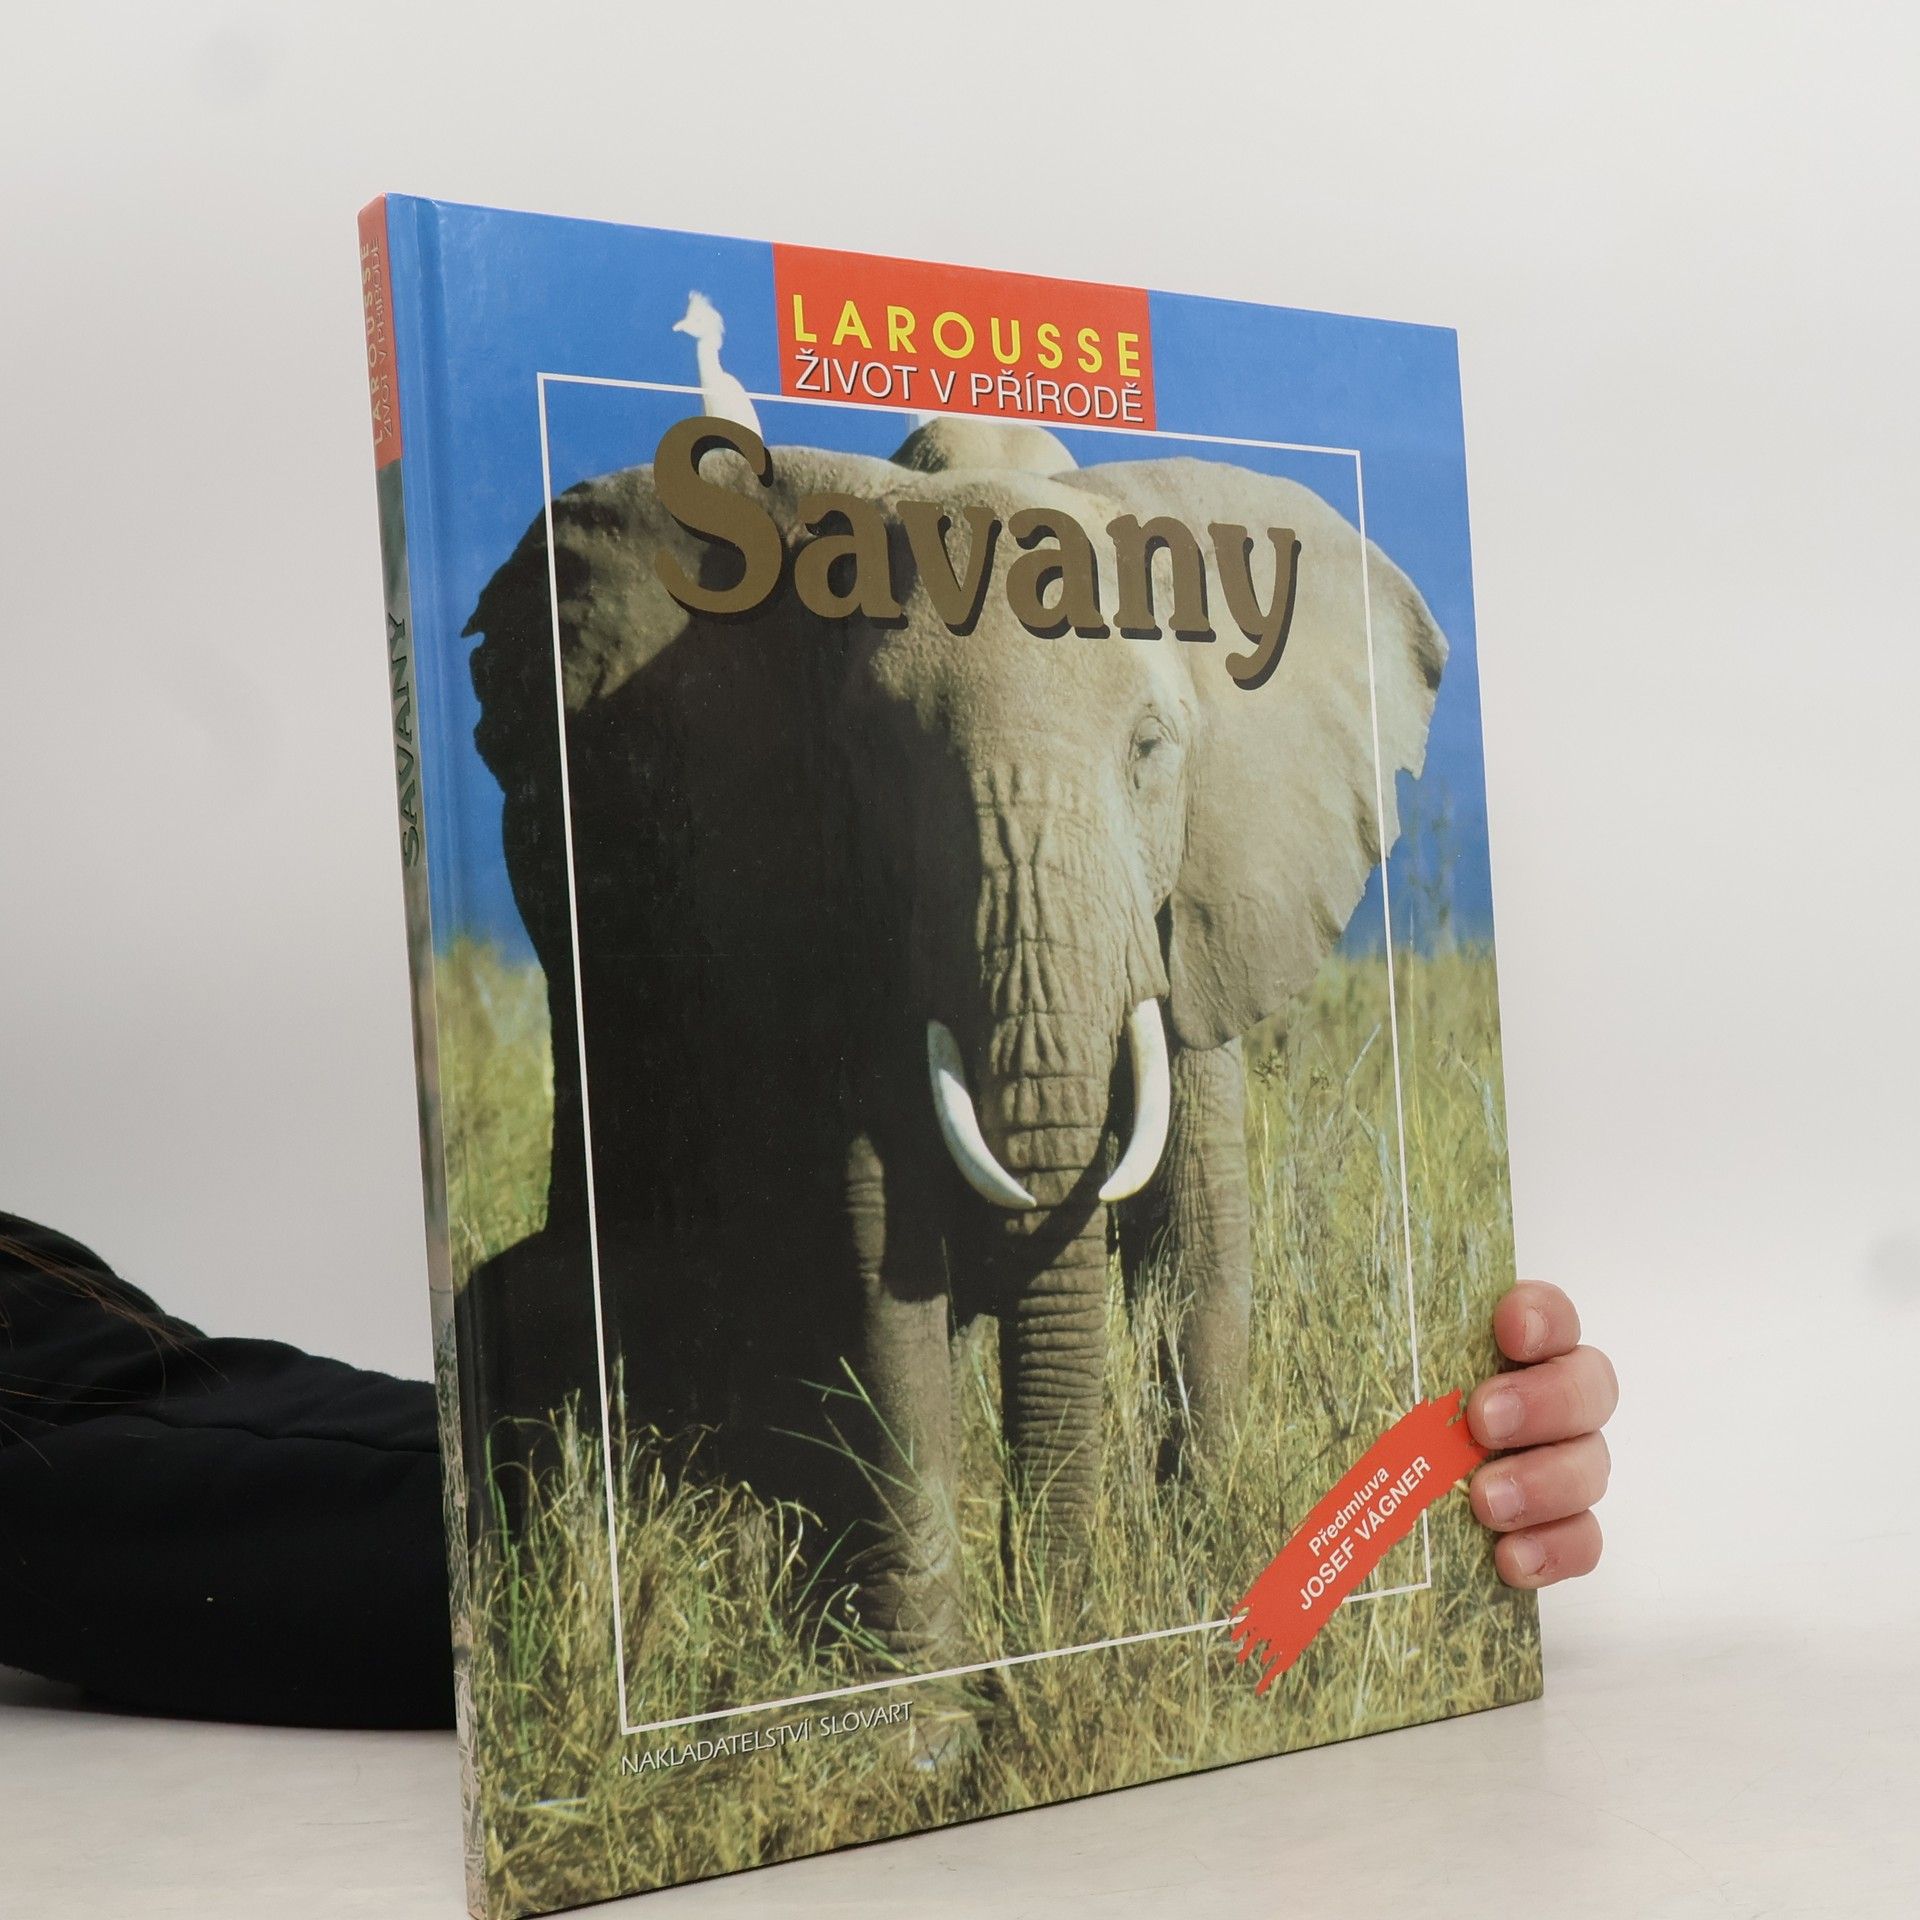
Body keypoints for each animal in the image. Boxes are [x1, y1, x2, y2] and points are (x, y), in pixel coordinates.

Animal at [457, 412, 1445, 1665]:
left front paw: (1204, 1608)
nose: (1058, 1621)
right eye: (877, 755)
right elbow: (879, 1260)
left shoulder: (1202, 904)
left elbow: (1200, 1251)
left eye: (1151, 749)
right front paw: (919, 1690)